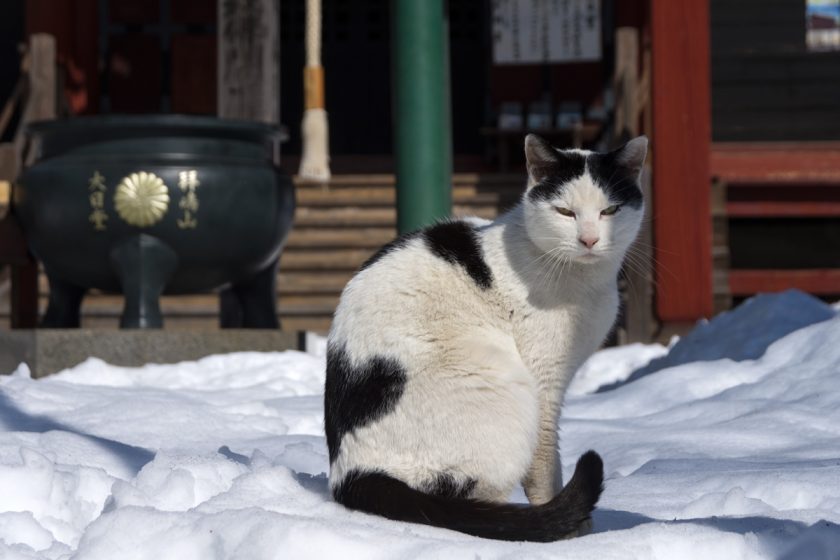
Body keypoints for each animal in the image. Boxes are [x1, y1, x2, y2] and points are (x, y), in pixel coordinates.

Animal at [324, 133, 648, 540]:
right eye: (564, 212)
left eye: (609, 211)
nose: (589, 240)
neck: (583, 282)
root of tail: (349, 473)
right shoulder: (543, 382)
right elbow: (545, 463)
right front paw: (566, 526)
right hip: (503, 388)